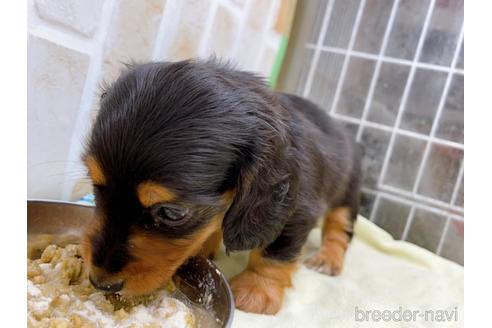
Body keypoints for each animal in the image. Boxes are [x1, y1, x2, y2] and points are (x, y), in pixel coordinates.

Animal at [81, 59, 362, 316]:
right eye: (97, 186)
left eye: (172, 213)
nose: (101, 283)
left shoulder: (295, 211)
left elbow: (274, 253)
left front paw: (257, 290)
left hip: (347, 193)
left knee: (339, 228)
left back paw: (328, 259)